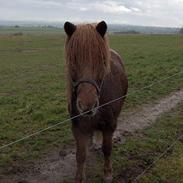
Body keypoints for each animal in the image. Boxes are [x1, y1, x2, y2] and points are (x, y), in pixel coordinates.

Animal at [63, 20, 128, 182]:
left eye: (102, 60)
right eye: (72, 60)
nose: (87, 105)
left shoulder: (110, 124)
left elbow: (107, 149)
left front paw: (108, 174)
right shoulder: (78, 127)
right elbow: (80, 155)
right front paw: (79, 178)